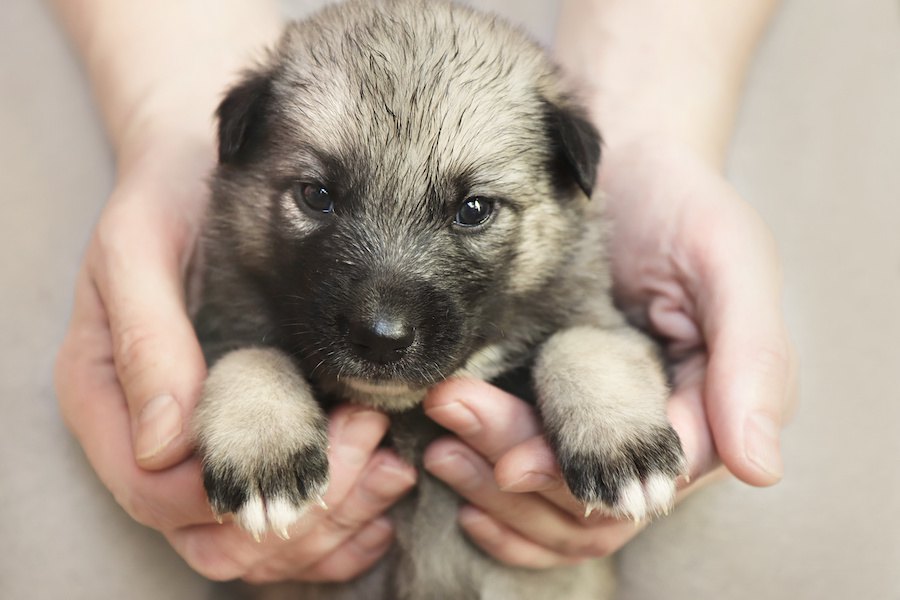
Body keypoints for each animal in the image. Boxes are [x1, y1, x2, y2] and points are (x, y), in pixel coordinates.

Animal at [193, 2, 684, 596]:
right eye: (316, 195)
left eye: (472, 209)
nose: (380, 339)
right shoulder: (221, 323)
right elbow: (252, 357)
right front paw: (264, 451)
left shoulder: (609, 320)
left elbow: (584, 343)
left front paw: (622, 446)